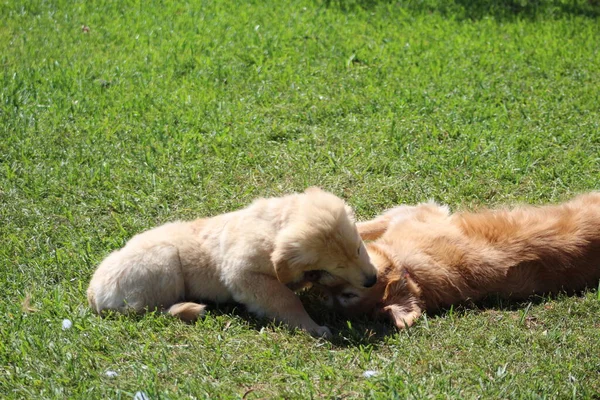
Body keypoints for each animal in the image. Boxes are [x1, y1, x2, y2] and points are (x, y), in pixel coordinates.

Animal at [86, 186, 378, 336]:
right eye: (338, 266)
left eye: (359, 249)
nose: (372, 280)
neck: (274, 227)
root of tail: (91, 293)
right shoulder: (244, 275)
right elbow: (286, 299)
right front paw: (313, 327)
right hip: (164, 261)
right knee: (147, 310)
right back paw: (188, 308)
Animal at [316, 193, 600, 328]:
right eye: (333, 300)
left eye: (349, 295)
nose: (321, 293)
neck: (407, 268)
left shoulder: (416, 212)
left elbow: (363, 227)